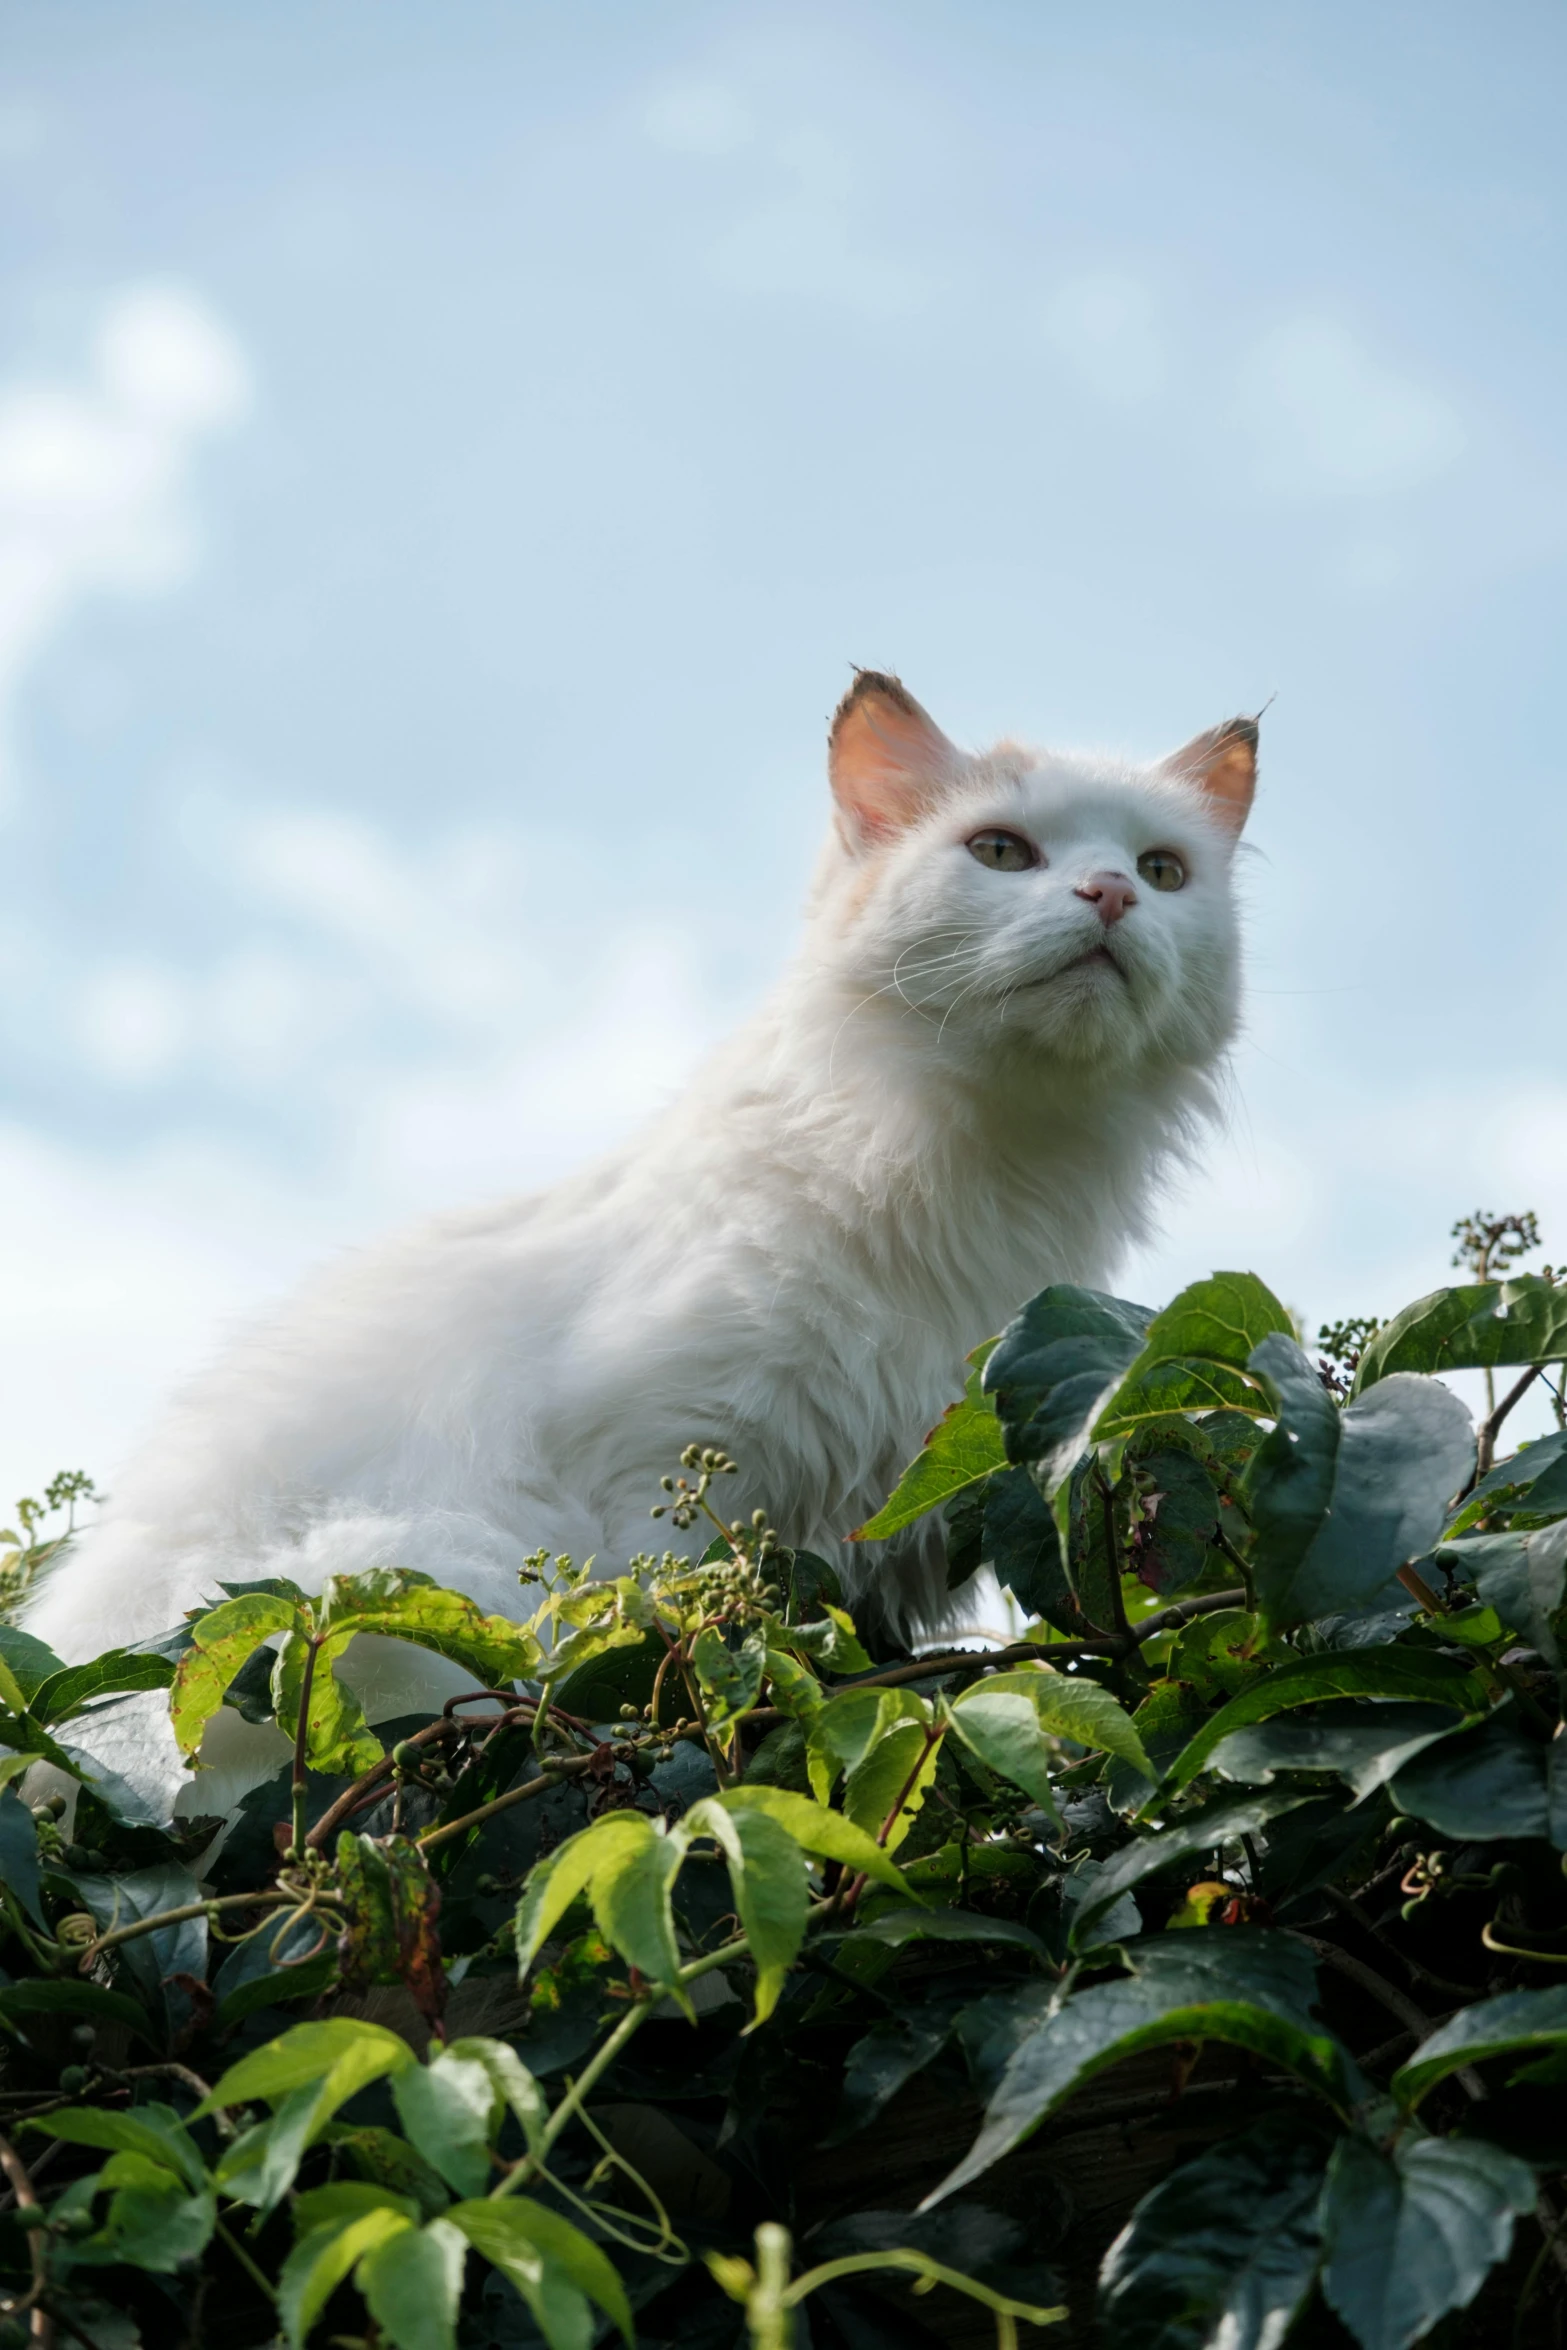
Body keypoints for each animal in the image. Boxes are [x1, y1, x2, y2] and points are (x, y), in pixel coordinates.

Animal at [33, 672, 1259, 1804]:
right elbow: (666, 1649)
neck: (981, 1175)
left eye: (1161, 872)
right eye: (1002, 852)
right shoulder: (658, 1468)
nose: (1108, 893)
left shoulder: (892, 1545)